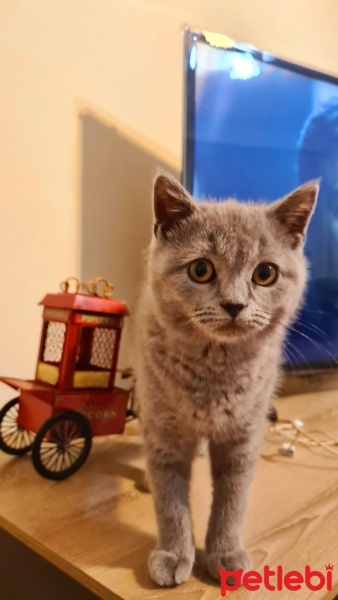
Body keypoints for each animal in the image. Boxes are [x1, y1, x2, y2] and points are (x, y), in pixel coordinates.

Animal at [134, 173, 316, 584]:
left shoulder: (243, 436)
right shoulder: (165, 432)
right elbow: (170, 499)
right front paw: (173, 554)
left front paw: (226, 552)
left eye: (265, 273)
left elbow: (233, 500)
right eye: (200, 270)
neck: (215, 372)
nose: (235, 305)